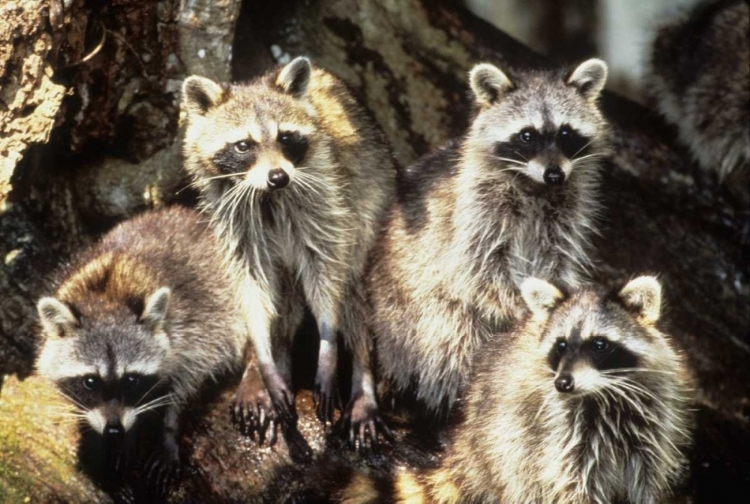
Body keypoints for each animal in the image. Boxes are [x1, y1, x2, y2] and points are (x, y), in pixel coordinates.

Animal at [36, 205, 247, 488]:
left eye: (132, 379)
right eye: (90, 381)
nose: (114, 429)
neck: (108, 295)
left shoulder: (196, 326)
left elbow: (186, 380)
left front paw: (167, 428)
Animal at [181, 55, 400, 442]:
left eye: (286, 138)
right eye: (243, 145)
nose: (278, 177)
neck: (266, 195)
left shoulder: (324, 198)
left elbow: (326, 270)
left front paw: (328, 344)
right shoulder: (235, 219)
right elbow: (251, 285)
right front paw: (262, 356)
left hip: (373, 198)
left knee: (354, 286)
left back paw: (362, 377)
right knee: (280, 295)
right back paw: (264, 364)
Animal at [316, 276, 692, 504]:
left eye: (599, 344)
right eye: (561, 345)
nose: (563, 383)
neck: (602, 394)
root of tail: (466, 446)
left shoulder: (649, 429)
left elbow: (646, 482)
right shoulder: (560, 435)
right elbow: (572, 483)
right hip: (506, 447)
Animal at [368, 58, 612, 414]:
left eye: (565, 132)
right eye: (527, 135)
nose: (555, 174)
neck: (534, 185)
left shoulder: (565, 215)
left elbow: (558, 262)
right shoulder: (474, 210)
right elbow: (479, 268)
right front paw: (519, 307)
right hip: (411, 312)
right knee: (451, 339)